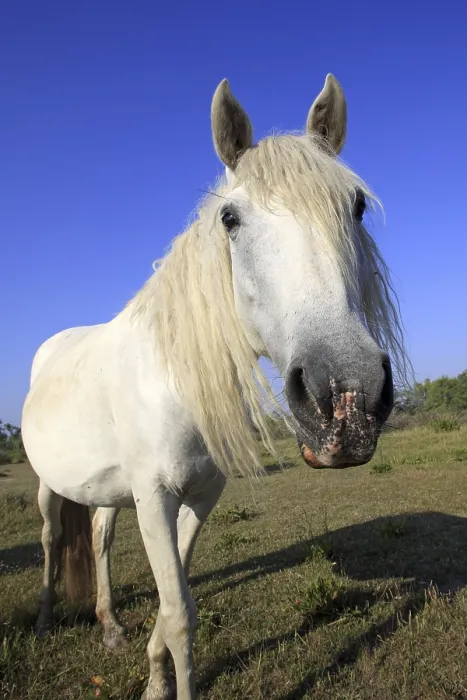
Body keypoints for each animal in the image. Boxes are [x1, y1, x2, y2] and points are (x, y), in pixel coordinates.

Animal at [22, 74, 409, 700]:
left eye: (356, 206)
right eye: (230, 218)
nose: (346, 399)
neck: (177, 385)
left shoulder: (200, 498)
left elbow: (171, 605)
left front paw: (154, 679)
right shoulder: (154, 497)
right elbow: (179, 613)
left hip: (106, 490)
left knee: (99, 537)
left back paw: (110, 627)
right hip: (47, 485)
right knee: (53, 539)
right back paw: (42, 620)